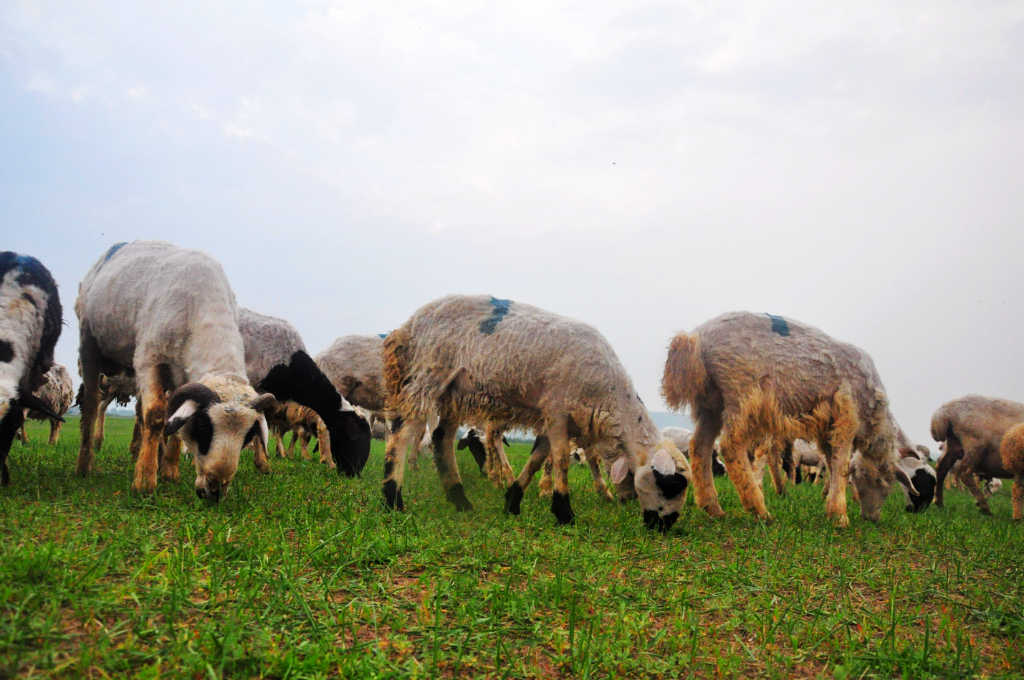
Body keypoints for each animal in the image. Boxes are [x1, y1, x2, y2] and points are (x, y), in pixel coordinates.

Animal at [378, 294, 688, 528]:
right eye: (670, 485)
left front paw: (512, 501)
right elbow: (560, 459)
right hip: (428, 375)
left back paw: (460, 500)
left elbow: (538, 458)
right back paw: (393, 499)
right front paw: (564, 512)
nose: (665, 526)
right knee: (402, 434)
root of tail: (409, 326)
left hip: (453, 391)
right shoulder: (558, 409)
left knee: (442, 438)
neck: (608, 395)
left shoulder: (554, 416)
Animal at [659, 311, 917, 528]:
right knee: (730, 446)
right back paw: (759, 510)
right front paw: (840, 516)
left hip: (711, 402)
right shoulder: (846, 411)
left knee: (699, 446)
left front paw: (831, 506)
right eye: (885, 482)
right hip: (742, 391)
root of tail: (695, 339)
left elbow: (832, 462)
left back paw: (713, 508)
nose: (872, 518)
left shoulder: (827, 425)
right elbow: (841, 463)